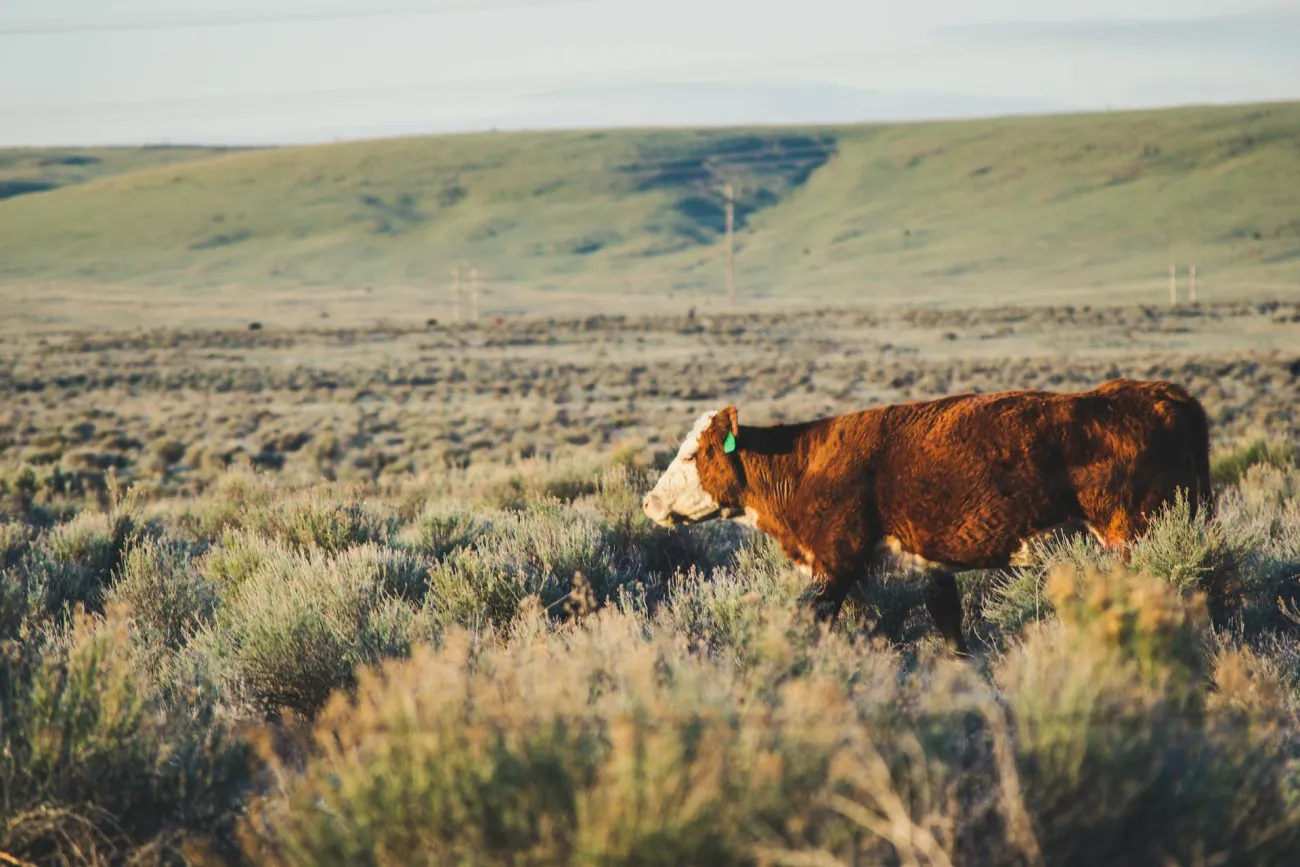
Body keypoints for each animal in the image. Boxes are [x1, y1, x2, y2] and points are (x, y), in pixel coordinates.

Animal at [641, 378, 1212, 655]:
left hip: (1132, 533)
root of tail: (1165, 395)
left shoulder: (835, 562)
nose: (648, 502)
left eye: (692, 455)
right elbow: (950, 630)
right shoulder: (928, 566)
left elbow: (813, 619)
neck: (804, 463)